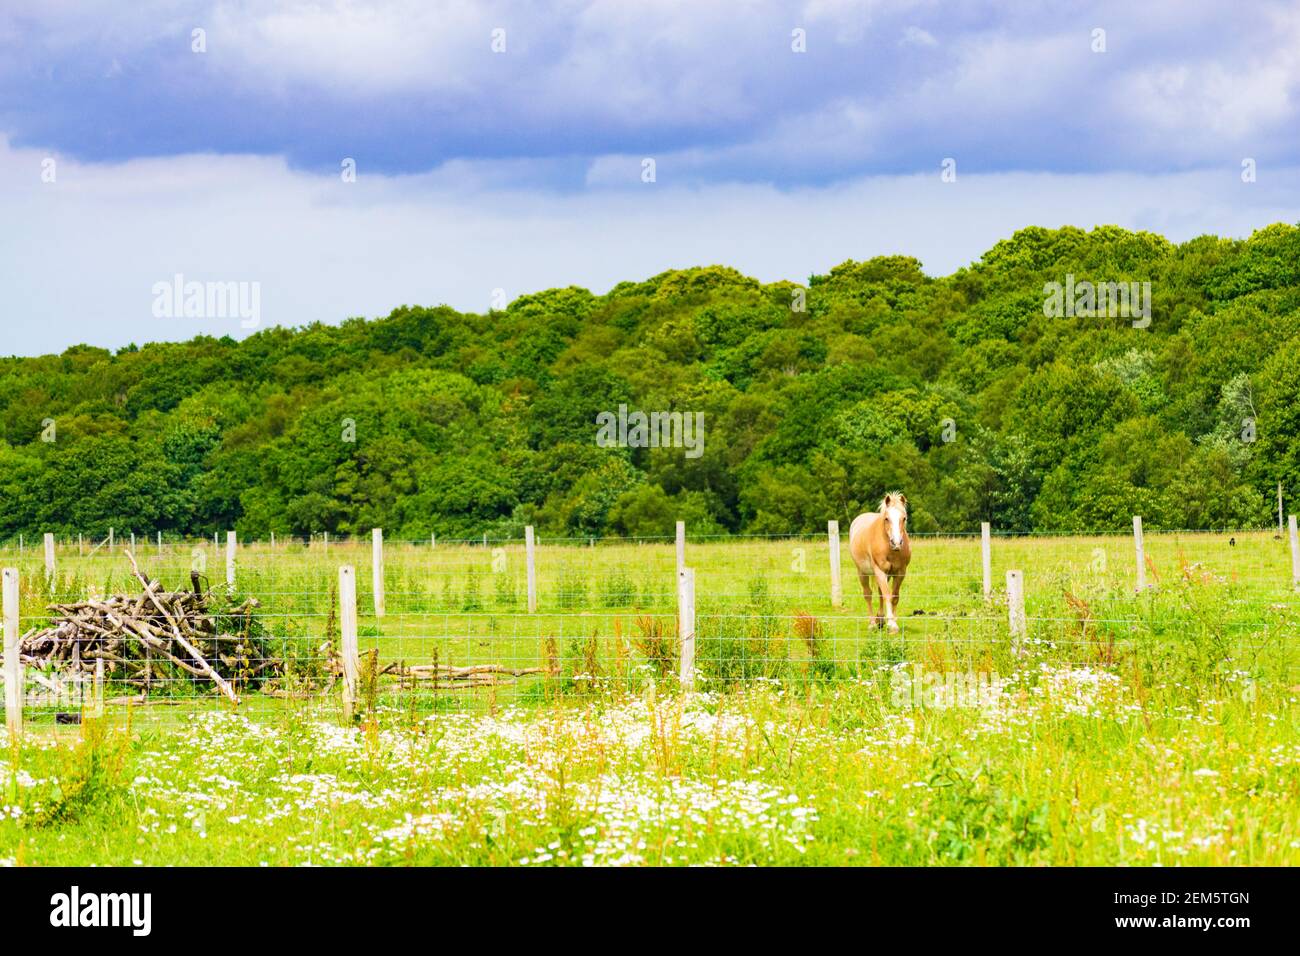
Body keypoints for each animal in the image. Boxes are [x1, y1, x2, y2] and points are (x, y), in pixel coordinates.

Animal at [848, 492, 912, 631]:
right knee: (868, 594)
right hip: (862, 572)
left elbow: (894, 596)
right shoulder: (880, 571)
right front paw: (891, 624)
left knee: (879, 592)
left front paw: (892, 621)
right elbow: (887, 595)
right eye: (886, 519)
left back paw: (880, 619)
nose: (896, 543)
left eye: (904, 518)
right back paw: (872, 623)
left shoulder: (900, 573)